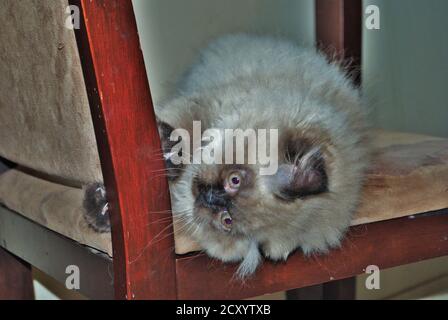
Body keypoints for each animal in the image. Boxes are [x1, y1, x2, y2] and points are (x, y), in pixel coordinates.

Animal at [83, 33, 368, 278]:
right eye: (235, 180)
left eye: (226, 221)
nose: (210, 197)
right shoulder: (201, 105)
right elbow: (178, 130)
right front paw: (167, 149)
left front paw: (102, 208)